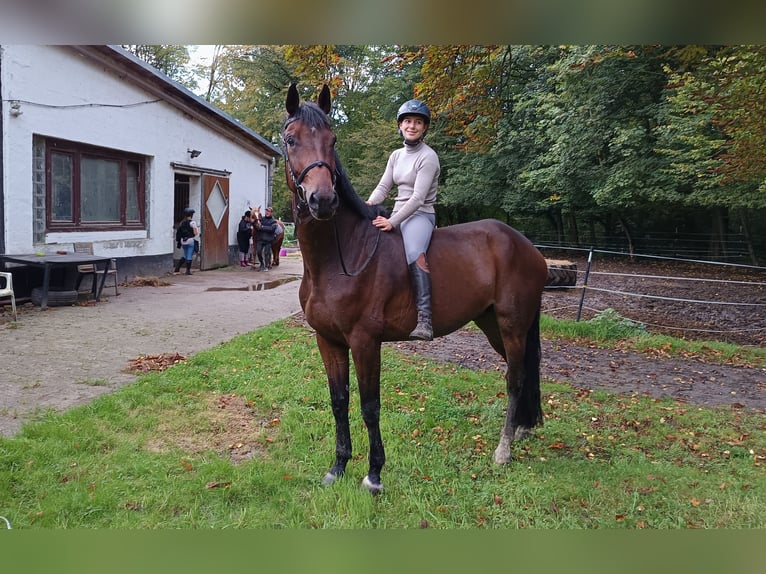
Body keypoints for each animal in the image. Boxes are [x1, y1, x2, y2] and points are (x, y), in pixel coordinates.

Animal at [284, 84, 548, 496]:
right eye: (291, 139)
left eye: (332, 140)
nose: (323, 200)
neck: (338, 258)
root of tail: (526, 246)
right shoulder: (328, 340)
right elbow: (338, 401)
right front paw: (338, 467)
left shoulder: (364, 341)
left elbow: (369, 406)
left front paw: (374, 475)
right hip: (493, 324)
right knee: (521, 371)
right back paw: (521, 429)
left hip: (512, 325)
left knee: (515, 379)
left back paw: (503, 449)